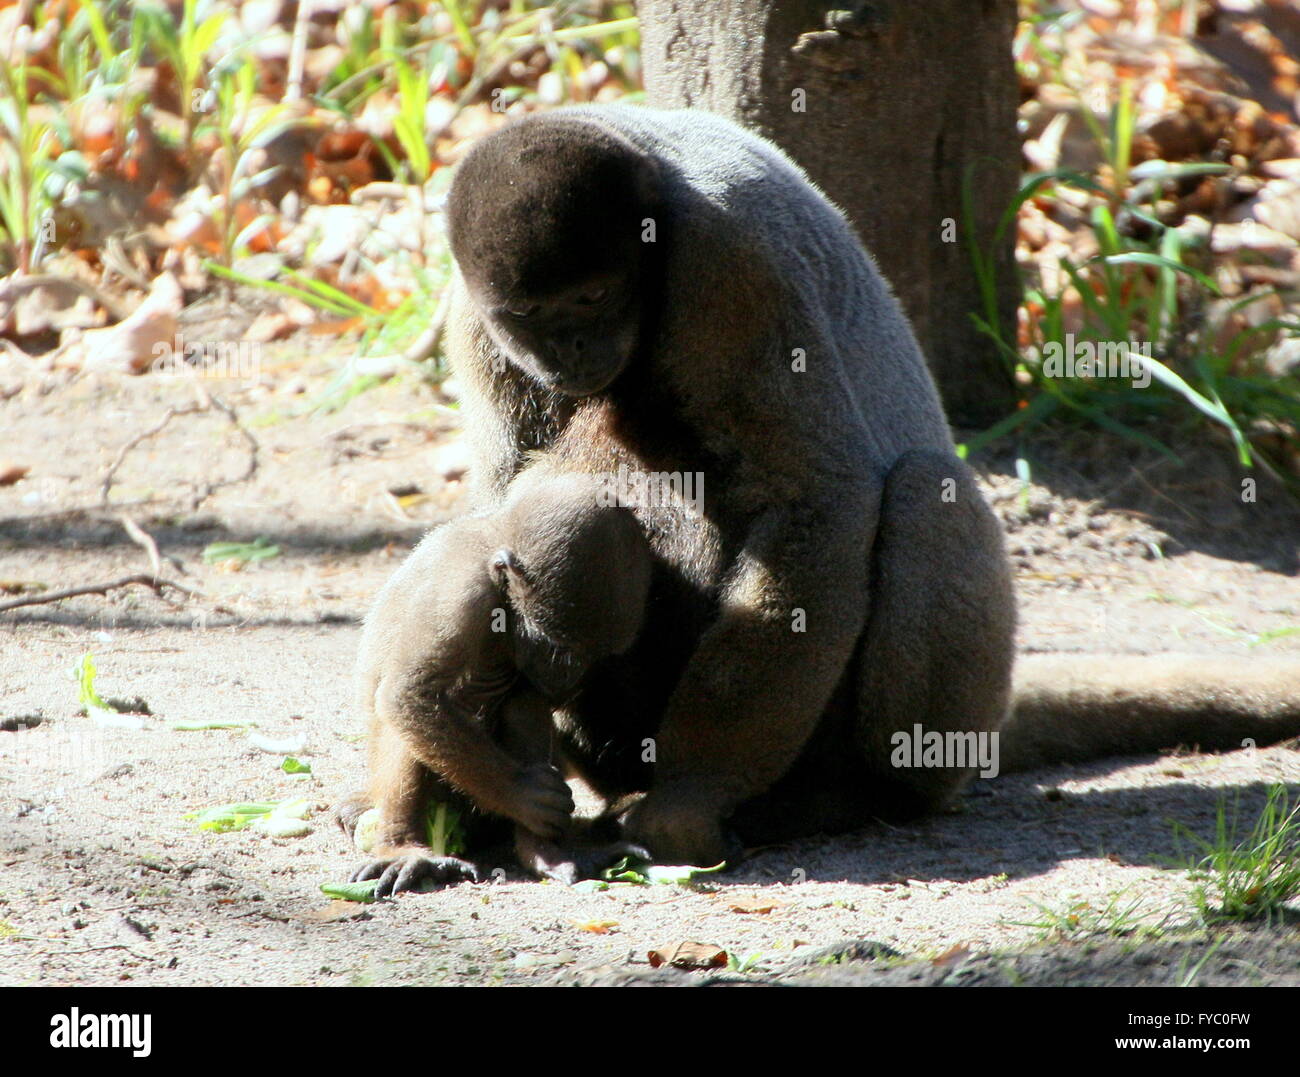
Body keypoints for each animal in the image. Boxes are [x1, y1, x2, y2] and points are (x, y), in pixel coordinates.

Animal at [343, 468, 650, 894]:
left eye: (596, 659)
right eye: (558, 649)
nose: (568, 681)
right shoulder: (462, 594)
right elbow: (410, 694)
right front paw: (521, 795)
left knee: (522, 697)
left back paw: (543, 852)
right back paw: (401, 847)